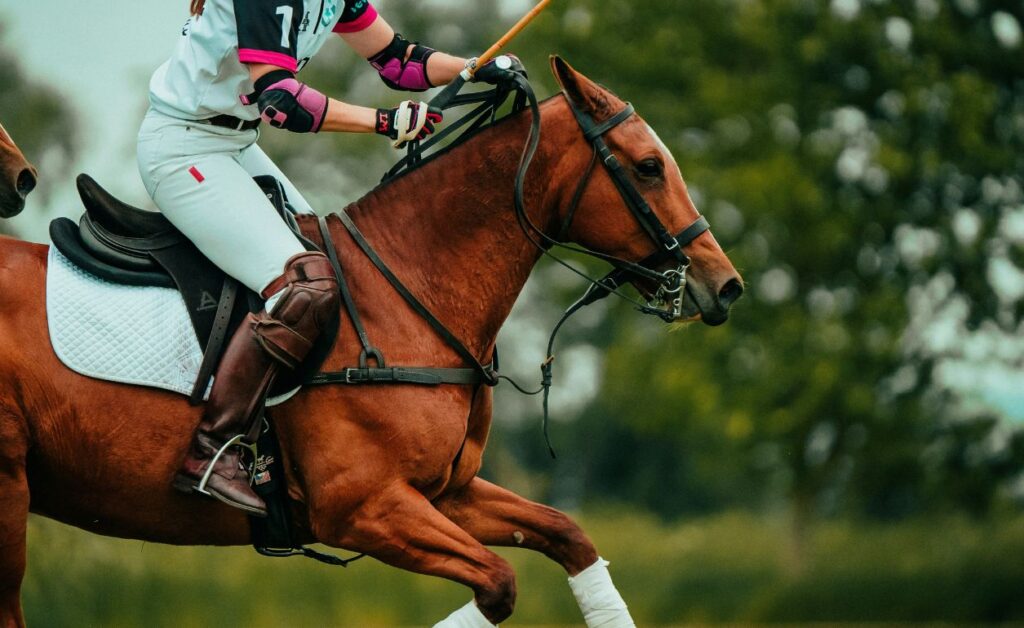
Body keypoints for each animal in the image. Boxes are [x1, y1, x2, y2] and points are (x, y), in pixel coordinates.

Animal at [0, 58, 742, 626]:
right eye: (648, 167)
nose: (726, 285)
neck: (410, 288)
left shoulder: (445, 492)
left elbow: (569, 535)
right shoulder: (363, 507)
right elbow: (499, 583)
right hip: (9, 485)